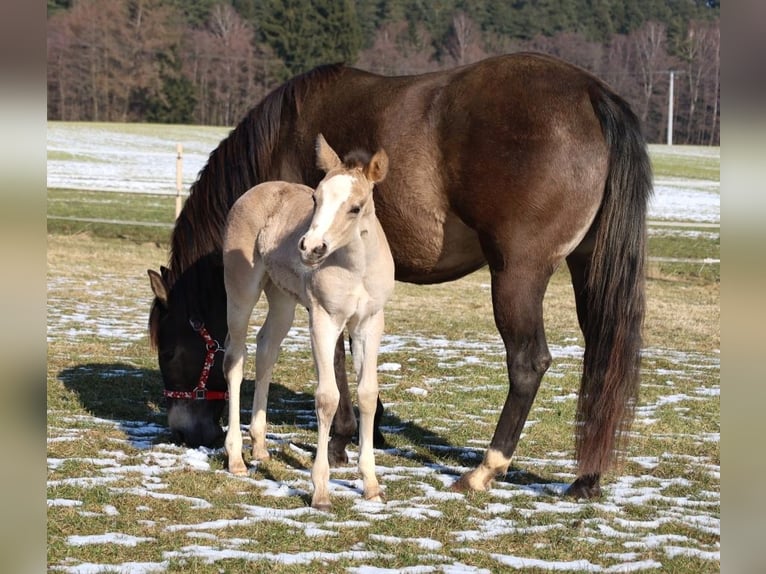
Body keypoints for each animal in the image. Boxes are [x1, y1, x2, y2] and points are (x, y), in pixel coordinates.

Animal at [222, 135, 392, 509]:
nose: (311, 247)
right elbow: (327, 397)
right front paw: (321, 491)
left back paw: (259, 446)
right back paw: (236, 458)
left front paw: (371, 484)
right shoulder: (324, 320)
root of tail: (257, 191)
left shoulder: (369, 324)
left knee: (266, 349)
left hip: (283, 300)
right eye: (316, 198)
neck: (355, 268)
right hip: (241, 291)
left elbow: (367, 394)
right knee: (235, 359)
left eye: (356, 207)